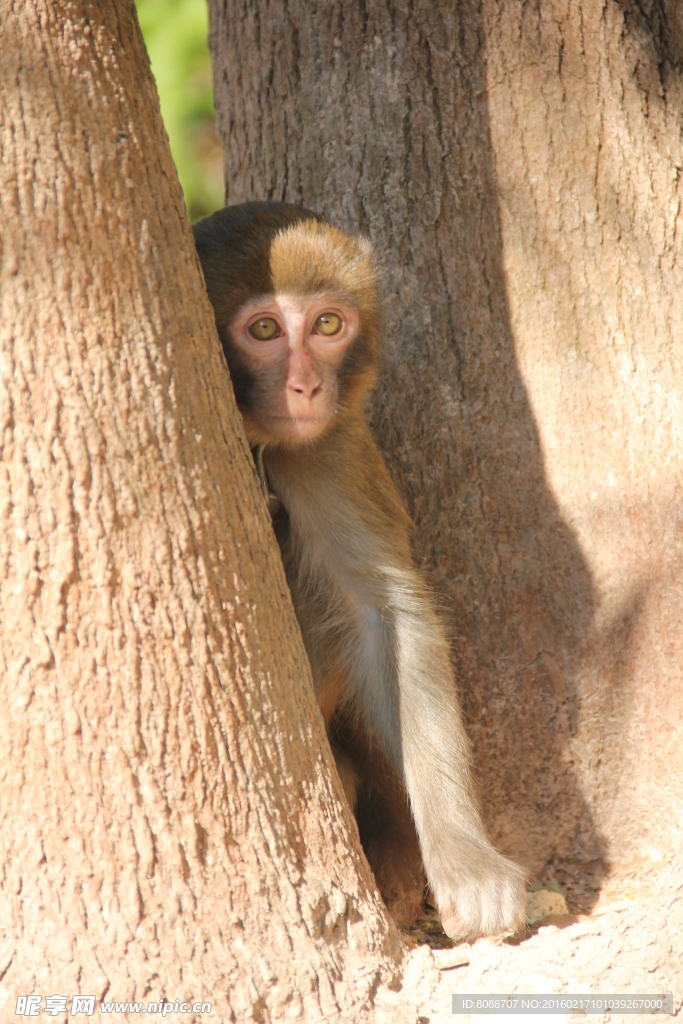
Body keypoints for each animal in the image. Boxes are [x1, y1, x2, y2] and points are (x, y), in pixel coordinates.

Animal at [192, 201, 528, 942]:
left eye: (326, 325)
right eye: (264, 330)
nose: (307, 385)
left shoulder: (327, 447)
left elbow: (382, 616)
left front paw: (465, 860)